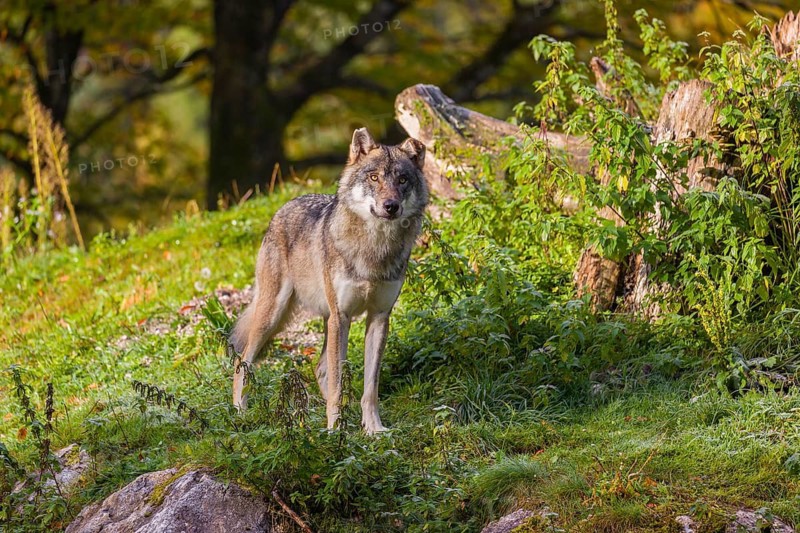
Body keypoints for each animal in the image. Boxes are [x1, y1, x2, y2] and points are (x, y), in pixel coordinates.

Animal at [230, 128, 428, 434]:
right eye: (374, 177)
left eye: (402, 179)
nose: (391, 206)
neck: (374, 248)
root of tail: (284, 206)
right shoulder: (342, 316)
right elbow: (337, 381)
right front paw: (335, 429)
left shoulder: (379, 317)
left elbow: (370, 387)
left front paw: (373, 428)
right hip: (275, 316)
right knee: (244, 361)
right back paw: (241, 411)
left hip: (323, 319)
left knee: (320, 368)